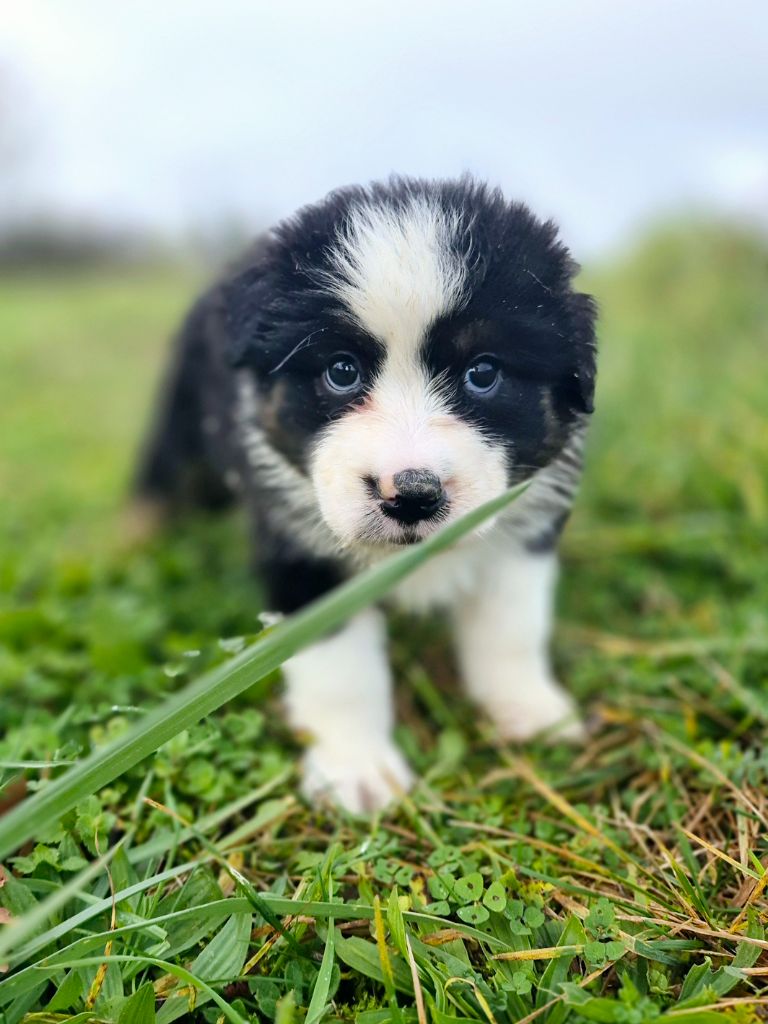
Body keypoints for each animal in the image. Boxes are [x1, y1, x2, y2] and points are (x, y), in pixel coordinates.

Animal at [134, 176, 597, 813]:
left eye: (483, 373)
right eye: (341, 370)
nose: (411, 496)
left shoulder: (521, 531)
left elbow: (511, 626)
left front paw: (529, 708)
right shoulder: (303, 554)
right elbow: (341, 668)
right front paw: (355, 770)